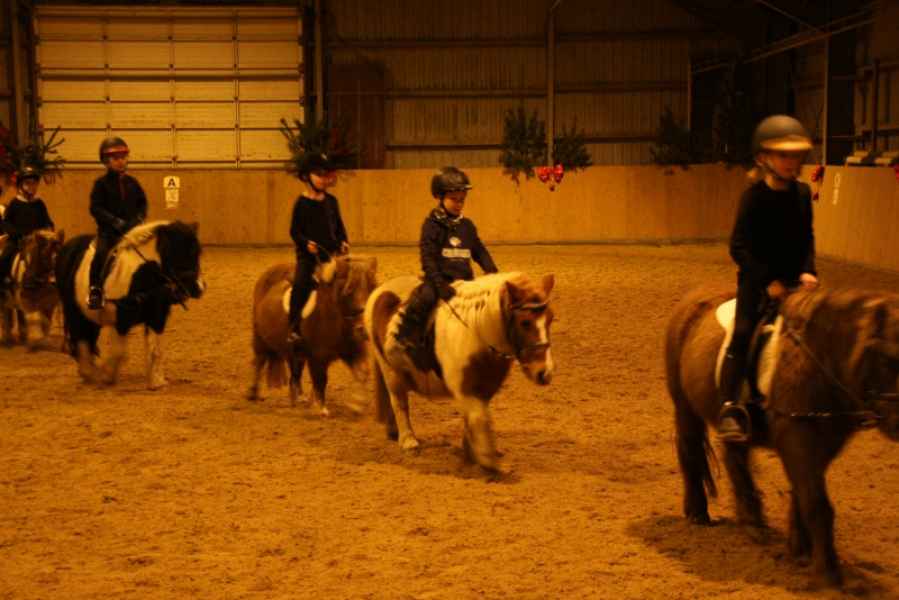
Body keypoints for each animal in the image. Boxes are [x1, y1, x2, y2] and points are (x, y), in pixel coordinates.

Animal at [55, 220, 205, 389]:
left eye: (197, 253)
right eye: (180, 251)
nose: (199, 288)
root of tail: (67, 248)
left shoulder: (157, 317)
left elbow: (155, 349)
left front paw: (156, 381)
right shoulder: (122, 318)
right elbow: (120, 352)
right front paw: (107, 375)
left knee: (89, 338)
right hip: (73, 310)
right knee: (80, 338)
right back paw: (88, 372)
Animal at [249, 254, 378, 415]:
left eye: (373, 286)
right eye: (349, 290)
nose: (364, 328)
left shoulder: (351, 351)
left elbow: (363, 372)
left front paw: (357, 403)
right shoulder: (317, 356)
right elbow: (320, 379)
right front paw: (320, 408)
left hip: (294, 350)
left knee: (295, 373)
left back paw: (297, 397)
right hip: (260, 338)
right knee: (259, 363)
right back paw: (254, 394)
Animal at [364, 272, 555, 473]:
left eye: (550, 318)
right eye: (525, 322)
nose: (544, 372)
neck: (476, 332)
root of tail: (379, 290)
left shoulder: (484, 388)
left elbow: (473, 419)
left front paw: (471, 453)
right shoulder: (464, 388)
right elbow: (478, 418)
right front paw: (488, 460)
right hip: (390, 371)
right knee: (399, 402)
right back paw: (409, 441)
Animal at [665, 285, 899, 587]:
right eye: (886, 356)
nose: (897, 423)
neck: (820, 358)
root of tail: (692, 299)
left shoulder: (820, 446)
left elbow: (802, 496)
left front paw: (800, 552)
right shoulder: (798, 441)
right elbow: (817, 504)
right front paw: (827, 572)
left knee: (735, 459)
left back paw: (753, 523)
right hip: (683, 405)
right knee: (690, 450)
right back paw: (698, 513)